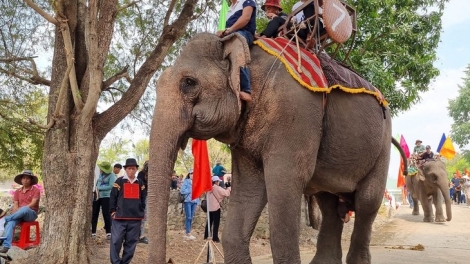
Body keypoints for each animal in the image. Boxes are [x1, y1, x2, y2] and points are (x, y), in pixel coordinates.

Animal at [148, 33, 400, 264]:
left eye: (189, 83)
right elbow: (247, 192)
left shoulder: (294, 114)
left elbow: (284, 187)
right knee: (328, 206)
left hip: (382, 145)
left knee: (366, 202)